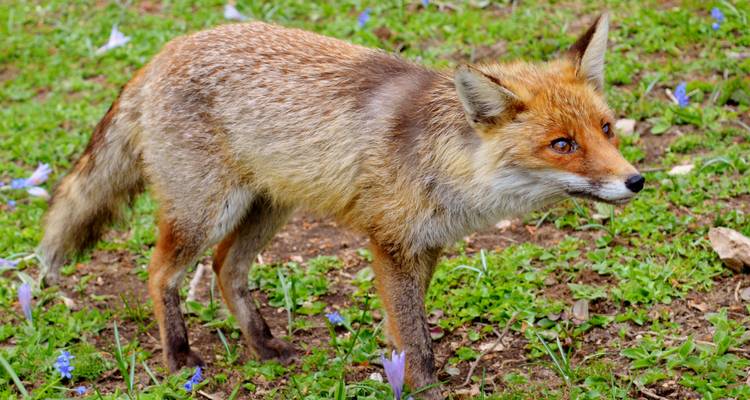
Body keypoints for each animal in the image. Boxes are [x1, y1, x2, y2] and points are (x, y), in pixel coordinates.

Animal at [38, 12, 643, 398]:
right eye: (561, 145)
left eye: (606, 129)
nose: (635, 181)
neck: (446, 164)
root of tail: (163, 51)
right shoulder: (392, 243)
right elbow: (415, 336)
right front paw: (423, 388)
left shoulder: (424, 246)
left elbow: (405, 328)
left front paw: (398, 372)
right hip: (205, 211)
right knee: (160, 272)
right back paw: (179, 358)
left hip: (267, 208)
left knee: (226, 267)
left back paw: (264, 346)